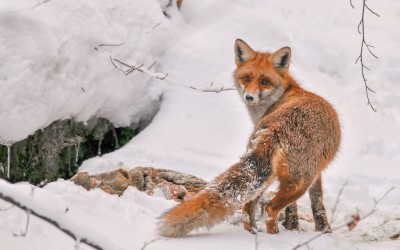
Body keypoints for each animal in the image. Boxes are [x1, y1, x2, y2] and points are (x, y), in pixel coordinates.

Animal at [156, 38, 340, 236]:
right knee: (269, 208)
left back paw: (252, 233)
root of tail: (276, 127)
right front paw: (321, 230)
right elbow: (317, 201)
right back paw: (274, 236)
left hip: (269, 176)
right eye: (247, 79)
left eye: (265, 81)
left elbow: (300, 207)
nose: (249, 97)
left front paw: (298, 226)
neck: (283, 95)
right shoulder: (315, 173)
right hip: (299, 181)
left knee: (246, 208)